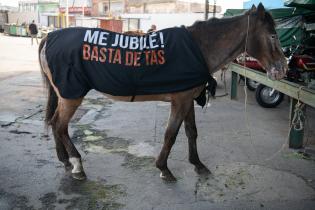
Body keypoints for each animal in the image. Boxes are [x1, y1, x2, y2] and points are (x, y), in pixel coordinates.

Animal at [38, 2, 288, 180]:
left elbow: (191, 132)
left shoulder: (188, 99)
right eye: (273, 35)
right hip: (72, 95)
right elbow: (171, 134)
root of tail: (49, 36)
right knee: (59, 125)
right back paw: (77, 164)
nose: (283, 68)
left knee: (55, 123)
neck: (199, 48)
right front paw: (163, 168)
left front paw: (198, 164)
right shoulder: (180, 101)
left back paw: (65, 160)